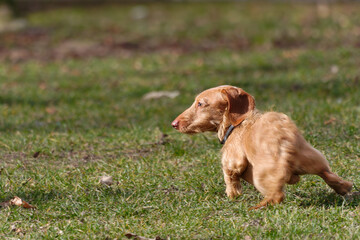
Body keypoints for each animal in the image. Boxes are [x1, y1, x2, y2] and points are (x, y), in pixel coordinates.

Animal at [172, 85, 352, 209]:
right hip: (313, 158)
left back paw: (257, 207)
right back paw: (344, 187)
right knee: (328, 174)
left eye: (200, 104)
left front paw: (233, 195)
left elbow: (229, 176)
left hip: (261, 176)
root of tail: (284, 141)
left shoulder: (232, 161)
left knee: (277, 195)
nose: (174, 124)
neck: (238, 124)